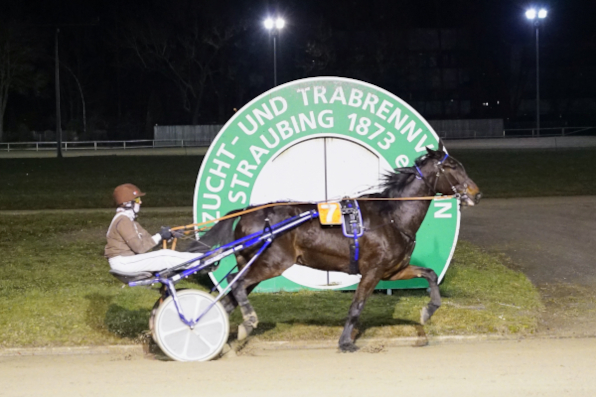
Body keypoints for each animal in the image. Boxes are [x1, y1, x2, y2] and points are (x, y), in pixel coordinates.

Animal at [193, 147, 482, 352]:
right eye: (452, 166)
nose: (476, 194)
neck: (392, 216)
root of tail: (246, 212)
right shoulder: (372, 271)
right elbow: (357, 306)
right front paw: (345, 342)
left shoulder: (392, 271)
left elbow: (430, 274)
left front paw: (427, 311)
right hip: (272, 263)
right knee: (236, 283)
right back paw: (247, 323)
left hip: (251, 262)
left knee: (231, 295)